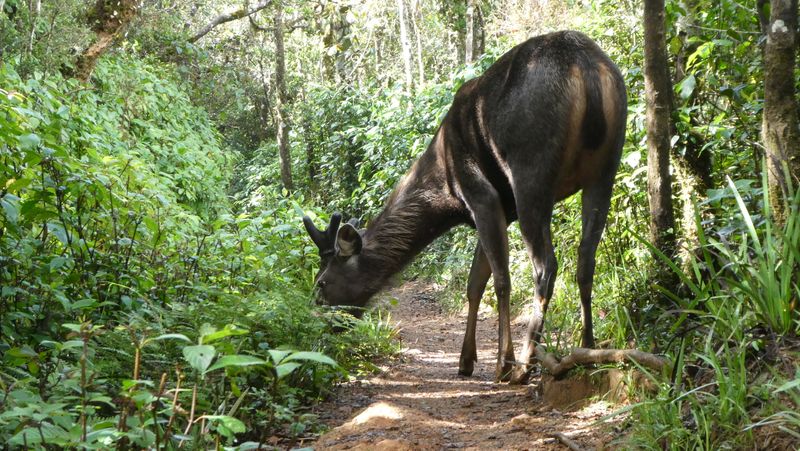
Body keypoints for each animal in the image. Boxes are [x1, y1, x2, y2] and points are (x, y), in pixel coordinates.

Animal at [304, 30, 628, 384]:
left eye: (322, 282)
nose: (317, 324)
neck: (445, 195)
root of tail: (587, 69)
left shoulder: (481, 195)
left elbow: (499, 280)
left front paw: (501, 363)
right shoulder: (501, 210)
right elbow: (474, 285)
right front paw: (465, 360)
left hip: (532, 171)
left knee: (546, 267)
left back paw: (525, 364)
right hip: (606, 167)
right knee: (586, 259)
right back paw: (588, 349)